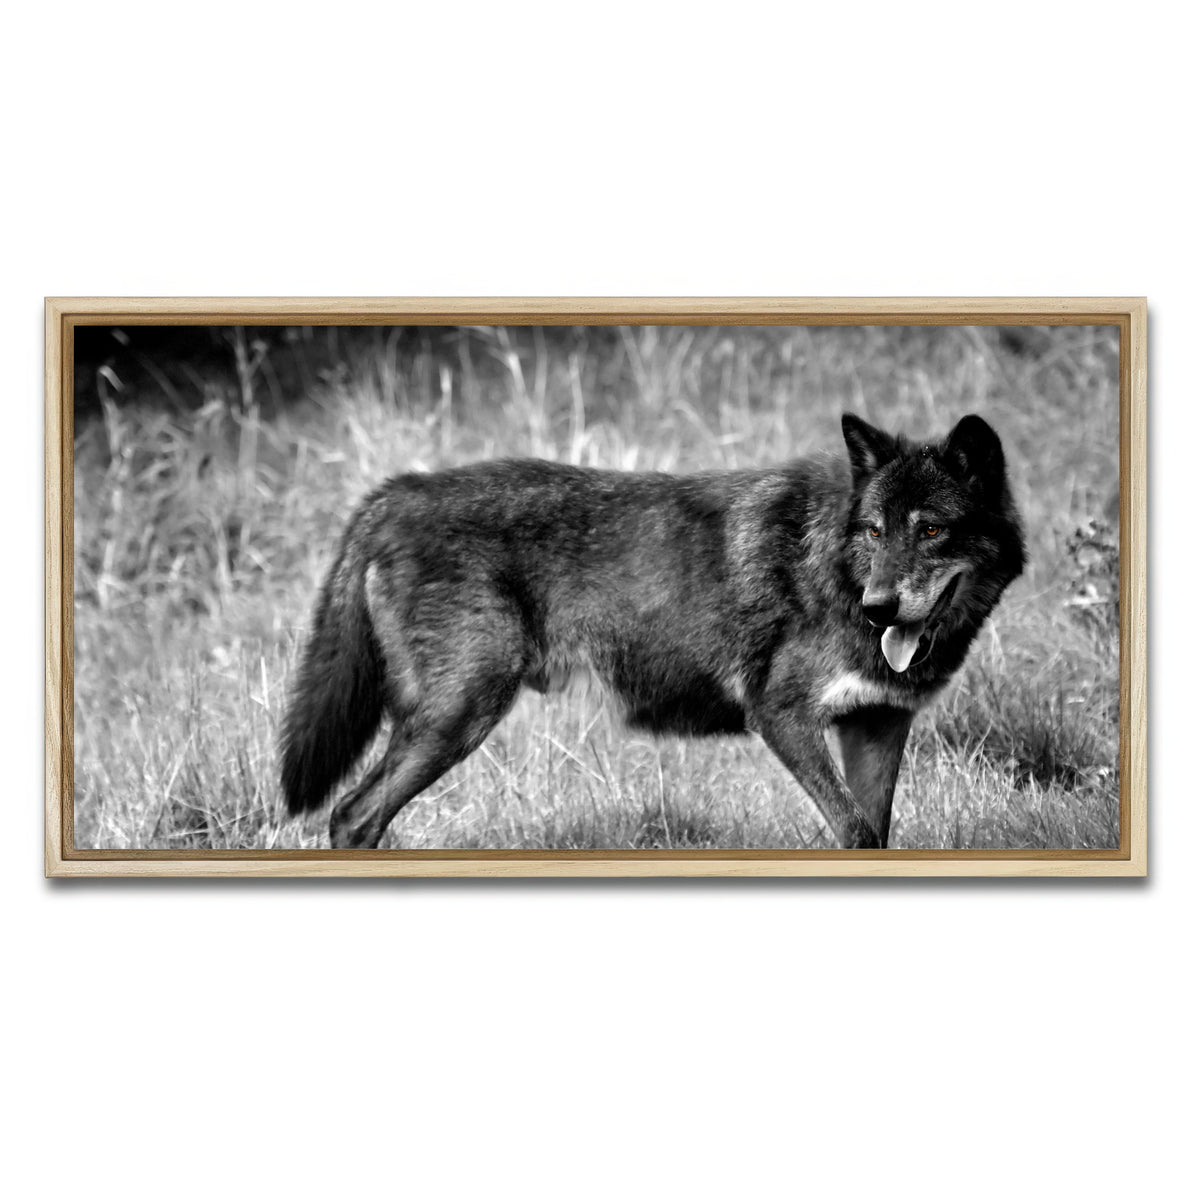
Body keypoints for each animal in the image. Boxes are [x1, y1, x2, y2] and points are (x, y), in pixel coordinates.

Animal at [280, 413, 1025, 850]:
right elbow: (849, 827)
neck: (835, 570)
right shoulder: (780, 716)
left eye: (930, 530)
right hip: (459, 717)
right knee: (351, 815)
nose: (879, 608)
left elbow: (871, 832)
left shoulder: (876, 724)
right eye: (873, 531)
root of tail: (395, 491)